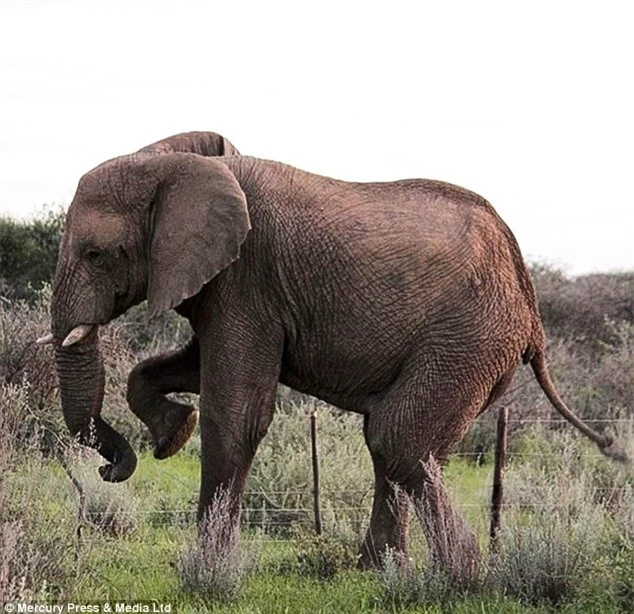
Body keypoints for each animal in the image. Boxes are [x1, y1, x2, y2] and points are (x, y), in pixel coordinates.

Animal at [43, 132, 616, 580]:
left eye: (96, 254)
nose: (109, 470)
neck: (176, 164)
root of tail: (529, 303)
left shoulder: (248, 278)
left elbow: (236, 414)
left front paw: (206, 570)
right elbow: (176, 367)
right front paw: (174, 431)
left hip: (468, 339)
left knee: (399, 437)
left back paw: (461, 576)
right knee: (391, 439)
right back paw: (383, 572)